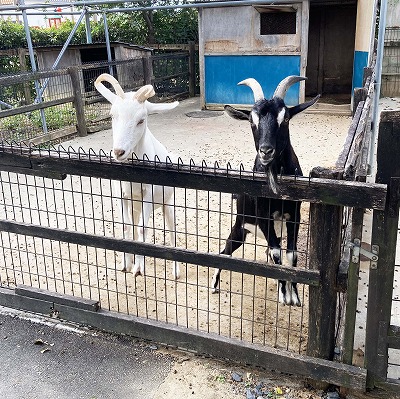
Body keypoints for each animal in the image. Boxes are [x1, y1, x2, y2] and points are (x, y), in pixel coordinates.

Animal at [94, 75, 179, 280]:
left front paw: (139, 268)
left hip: (167, 204)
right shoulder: (121, 195)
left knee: (172, 232)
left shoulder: (147, 193)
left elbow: (142, 229)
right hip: (135, 207)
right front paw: (126, 263)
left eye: (141, 120)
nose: (119, 152)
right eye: (112, 116)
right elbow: (126, 227)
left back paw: (176, 271)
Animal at [211, 76, 320, 306]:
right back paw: (215, 285)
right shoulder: (263, 216)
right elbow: (278, 253)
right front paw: (284, 294)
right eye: (252, 121)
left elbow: (290, 254)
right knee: (226, 250)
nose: (266, 151)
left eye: (285, 118)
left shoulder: (294, 215)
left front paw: (294, 295)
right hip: (240, 227)